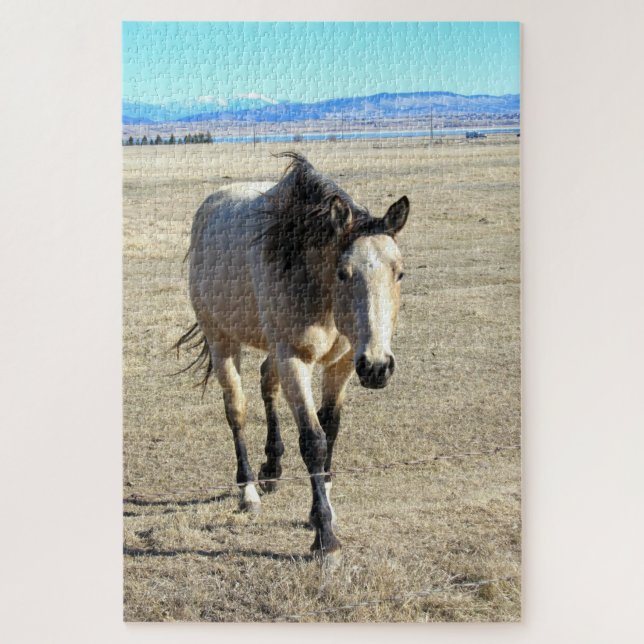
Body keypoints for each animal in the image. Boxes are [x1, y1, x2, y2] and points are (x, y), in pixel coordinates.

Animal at [175, 152, 409, 558]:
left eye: (399, 273)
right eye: (344, 273)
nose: (378, 368)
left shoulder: (343, 363)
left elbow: (330, 428)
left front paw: (324, 508)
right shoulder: (294, 360)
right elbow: (313, 440)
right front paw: (325, 538)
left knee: (267, 386)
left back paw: (272, 467)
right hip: (222, 340)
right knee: (236, 410)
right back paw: (249, 492)